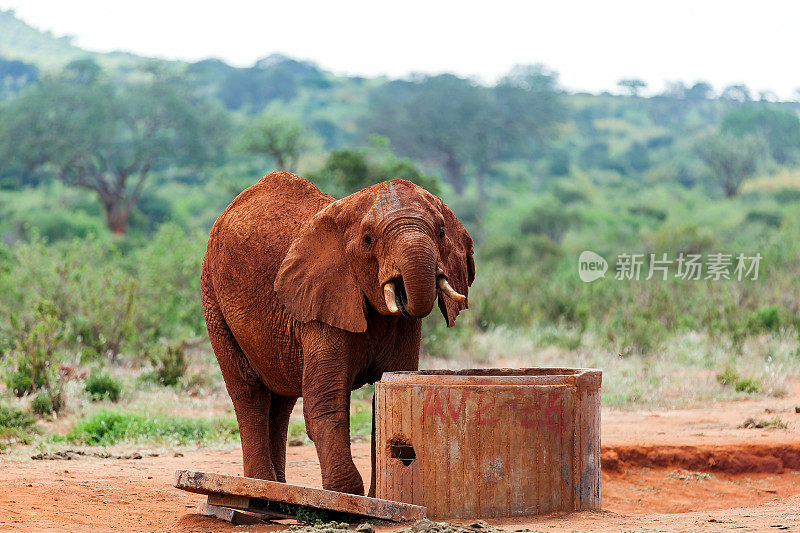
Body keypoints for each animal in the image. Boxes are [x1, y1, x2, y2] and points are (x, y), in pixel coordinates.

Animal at [202, 172, 476, 496]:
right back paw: (261, 487)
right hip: (213, 299)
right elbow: (325, 401)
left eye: (442, 232)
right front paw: (346, 494)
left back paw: (278, 489)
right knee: (250, 393)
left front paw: (377, 496)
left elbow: (386, 399)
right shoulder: (319, 305)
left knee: (281, 400)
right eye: (368, 239)